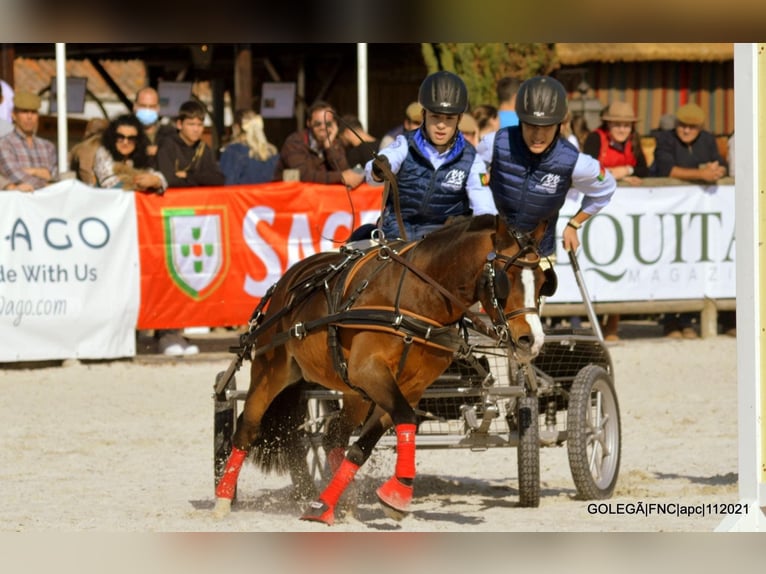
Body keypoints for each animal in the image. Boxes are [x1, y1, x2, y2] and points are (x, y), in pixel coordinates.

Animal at [213, 215, 556, 528]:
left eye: (543, 281)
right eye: (506, 278)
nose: (531, 339)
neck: (416, 298)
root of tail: (289, 279)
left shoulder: (408, 387)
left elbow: (364, 445)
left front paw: (330, 505)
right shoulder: (370, 371)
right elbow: (406, 418)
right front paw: (400, 493)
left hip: (353, 391)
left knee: (334, 436)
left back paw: (334, 501)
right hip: (272, 369)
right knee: (247, 427)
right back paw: (223, 499)